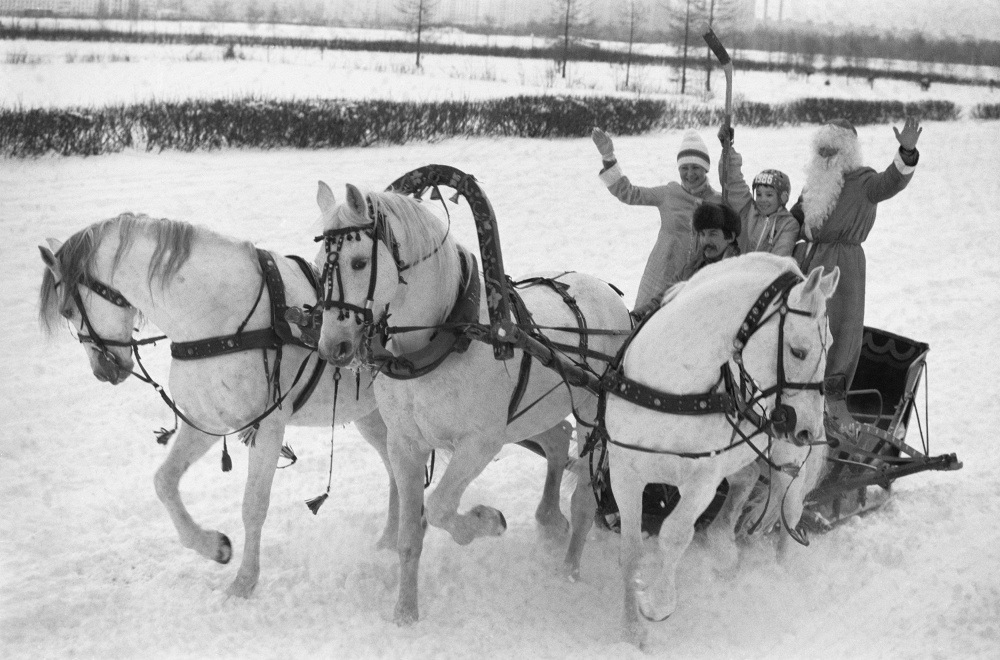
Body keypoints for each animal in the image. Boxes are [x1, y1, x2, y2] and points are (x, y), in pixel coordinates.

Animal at [39, 215, 398, 600]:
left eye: (67, 310)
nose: (103, 371)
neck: (215, 317)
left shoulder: (268, 426)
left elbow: (253, 505)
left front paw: (243, 583)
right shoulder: (205, 422)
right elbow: (164, 481)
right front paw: (213, 546)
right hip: (372, 416)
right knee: (395, 466)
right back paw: (392, 538)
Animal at [310, 182, 632, 624]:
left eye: (359, 262)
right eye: (317, 265)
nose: (332, 346)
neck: (444, 338)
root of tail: (609, 293)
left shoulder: (480, 443)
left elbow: (440, 506)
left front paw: (487, 521)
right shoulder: (404, 444)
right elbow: (410, 535)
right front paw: (405, 611)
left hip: (592, 412)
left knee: (584, 492)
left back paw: (568, 569)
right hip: (531, 413)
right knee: (555, 441)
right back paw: (549, 519)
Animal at [600, 253, 836, 644]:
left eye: (829, 344)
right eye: (798, 350)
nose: (808, 428)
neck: (673, 386)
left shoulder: (702, 479)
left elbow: (675, 534)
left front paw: (657, 604)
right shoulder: (625, 472)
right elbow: (631, 550)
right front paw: (631, 630)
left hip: (786, 460)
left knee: (790, 508)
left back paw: (780, 575)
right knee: (746, 479)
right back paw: (724, 545)